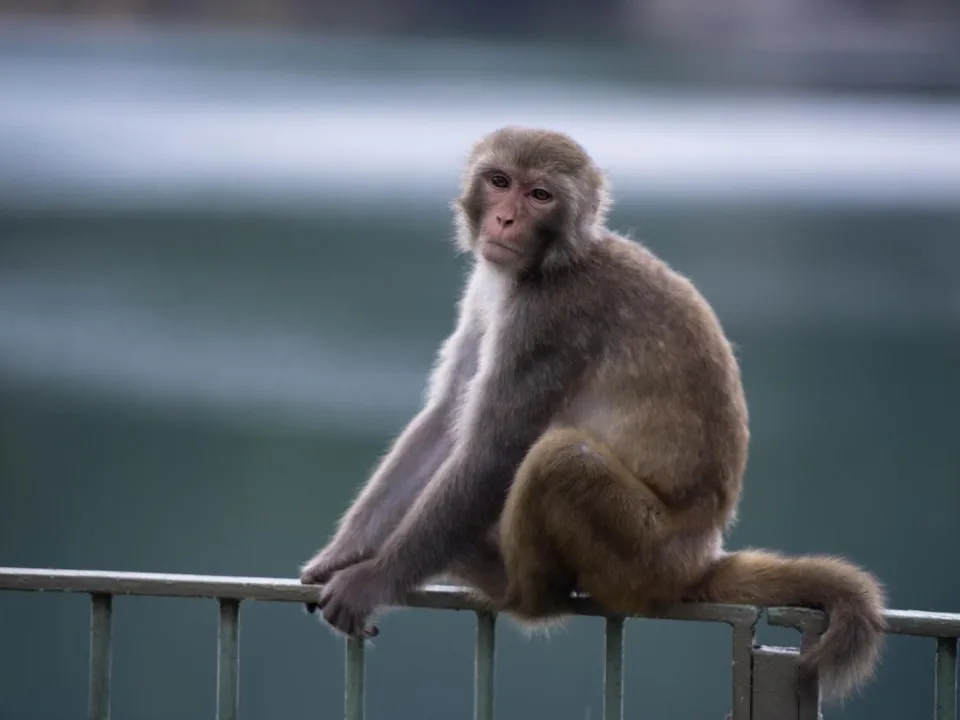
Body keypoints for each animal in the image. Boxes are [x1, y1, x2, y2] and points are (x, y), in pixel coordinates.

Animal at [300, 125, 884, 704]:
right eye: (499, 181)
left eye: (540, 195)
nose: (504, 220)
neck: (548, 264)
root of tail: (700, 559)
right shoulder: (489, 292)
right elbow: (446, 420)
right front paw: (341, 554)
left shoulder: (549, 318)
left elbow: (493, 451)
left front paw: (372, 580)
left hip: (644, 553)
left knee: (562, 458)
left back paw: (514, 589)